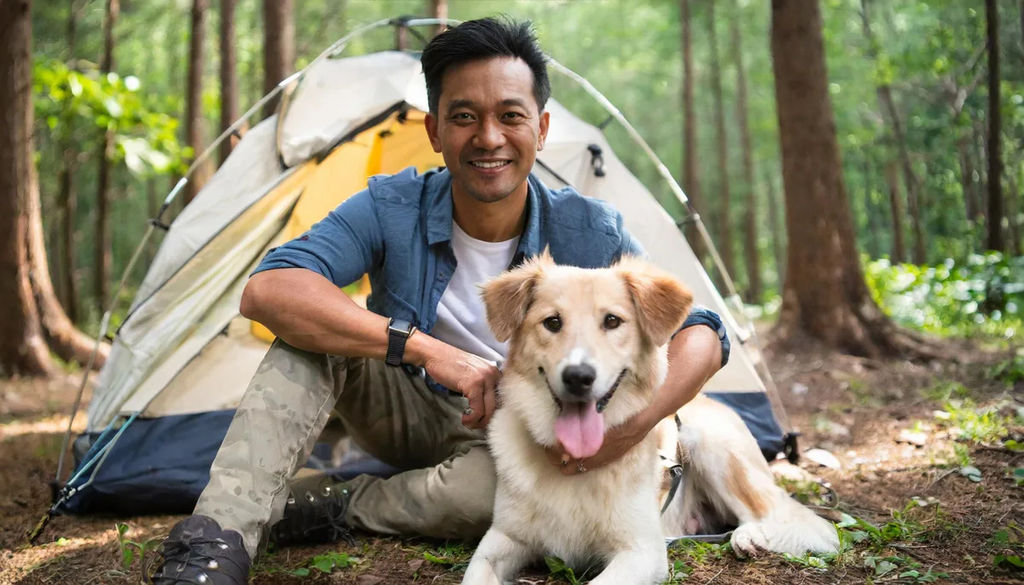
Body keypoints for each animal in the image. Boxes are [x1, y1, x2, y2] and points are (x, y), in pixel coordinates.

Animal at [464, 255, 839, 585]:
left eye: (612, 321)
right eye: (552, 322)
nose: (578, 377)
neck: (577, 465)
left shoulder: (642, 551)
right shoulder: (502, 537)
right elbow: (475, 575)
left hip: (709, 444)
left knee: (776, 515)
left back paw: (749, 537)